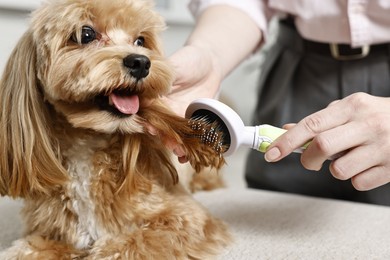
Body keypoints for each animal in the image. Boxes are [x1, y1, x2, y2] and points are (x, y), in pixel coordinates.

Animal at [0, 0, 232, 258]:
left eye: (140, 40)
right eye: (86, 34)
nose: (141, 62)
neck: (86, 149)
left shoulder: (187, 217)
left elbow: (128, 244)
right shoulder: (51, 234)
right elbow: (26, 249)